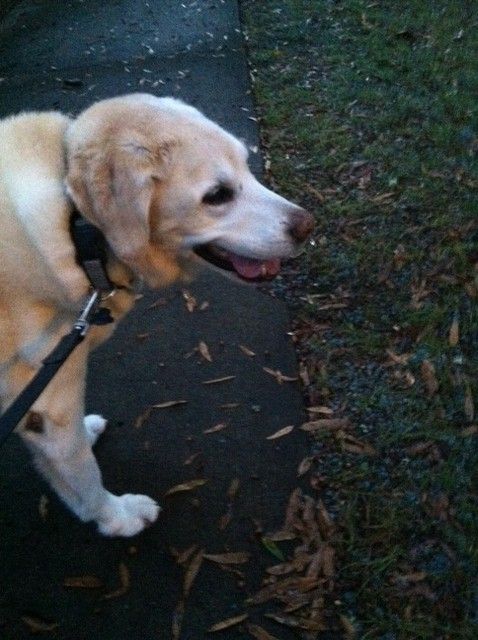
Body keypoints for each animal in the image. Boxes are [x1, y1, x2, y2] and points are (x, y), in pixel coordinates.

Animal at [0, 94, 316, 536]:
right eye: (217, 195)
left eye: (247, 166)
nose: (309, 226)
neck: (77, 228)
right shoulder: (48, 401)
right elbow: (83, 473)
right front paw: (115, 516)